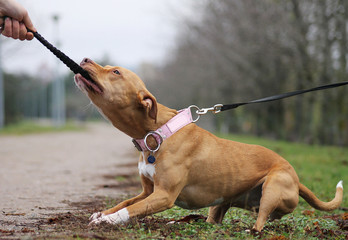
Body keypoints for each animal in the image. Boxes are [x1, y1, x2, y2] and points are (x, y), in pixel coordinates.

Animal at [73, 57, 342, 231]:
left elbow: (131, 209)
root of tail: (297, 180)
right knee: (213, 222)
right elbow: (125, 203)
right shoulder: (147, 192)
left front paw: (108, 221)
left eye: (116, 72)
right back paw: (181, 223)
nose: (84, 59)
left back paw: (250, 231)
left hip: (273, 186)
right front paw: (103, 213)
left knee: (260, 222)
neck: (158, 133)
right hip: (223, 200)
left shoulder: (163, 195)